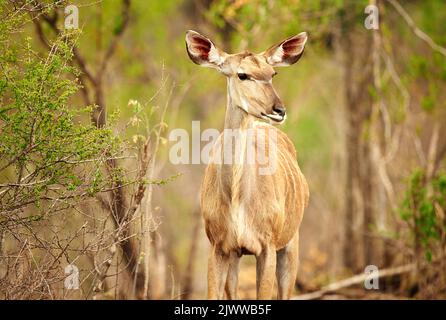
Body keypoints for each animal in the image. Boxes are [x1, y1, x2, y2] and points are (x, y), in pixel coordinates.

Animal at [186, 30, 308, 300]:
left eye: (272, 73)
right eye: (242, 74)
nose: (278, 110)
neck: (236, 198)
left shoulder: (267, 247)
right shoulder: (220, 248)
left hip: (291, 243)